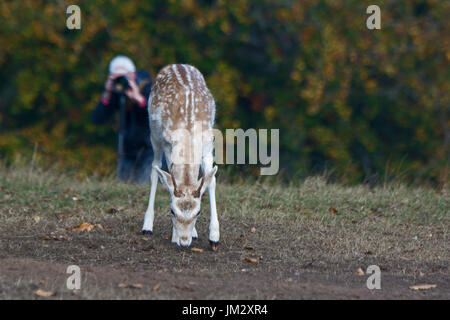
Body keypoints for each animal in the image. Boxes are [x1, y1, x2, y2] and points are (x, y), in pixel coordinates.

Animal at [141, 64, 218, 250]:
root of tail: (175, 65)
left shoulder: (207, 143)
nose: (184, 242)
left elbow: (210, 181)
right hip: (154, 133)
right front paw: (174, 236)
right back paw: (147, 226)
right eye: (172, 211)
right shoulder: (169, 144)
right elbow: (171, 178)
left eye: (198, 212)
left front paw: (214, 237)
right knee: (154, 169)